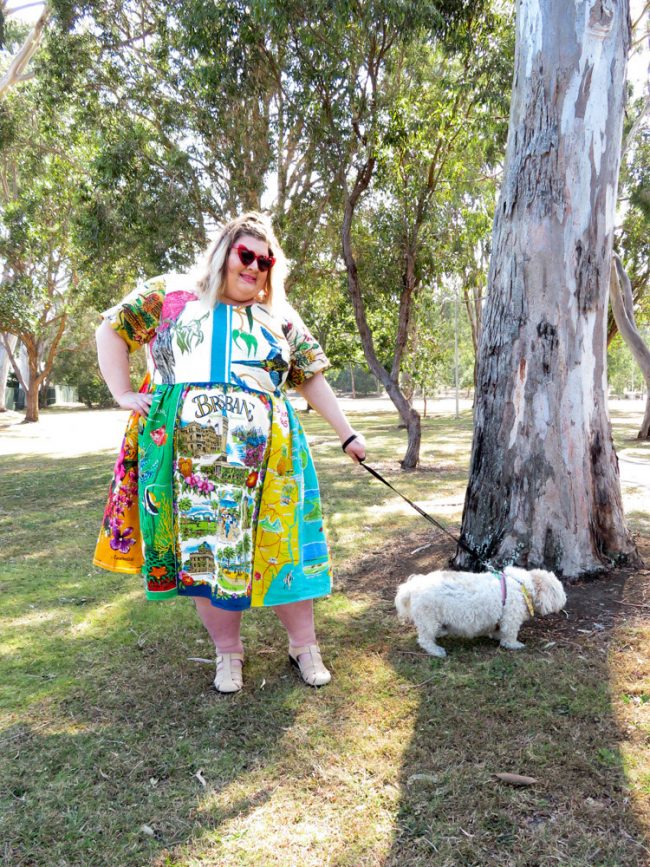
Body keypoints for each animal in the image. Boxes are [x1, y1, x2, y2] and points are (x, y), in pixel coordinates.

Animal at [392, 564, 564, 656]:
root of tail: (412, 587)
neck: (522, 587)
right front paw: (514, 645)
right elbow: (509, 635)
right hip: (429, 619)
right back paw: (436, 650)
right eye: (557, 591)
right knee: (425, 639)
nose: (564, 601)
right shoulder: (510, 619)